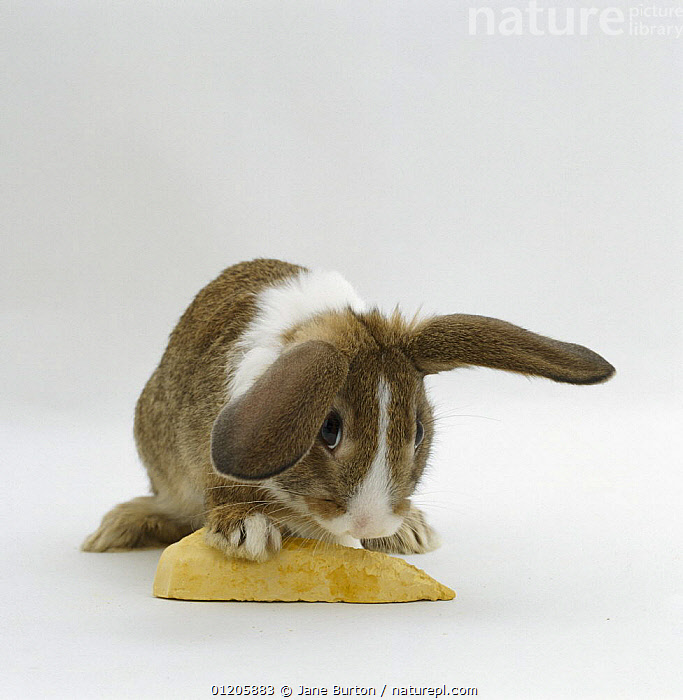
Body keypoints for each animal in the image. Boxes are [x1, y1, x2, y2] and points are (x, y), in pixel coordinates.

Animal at [81, 260, 616, 560]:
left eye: (419, 431)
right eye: (328, 430)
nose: (370, 526)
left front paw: (409, 534)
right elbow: (224, 493)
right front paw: (247, 531)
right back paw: (116, 530)